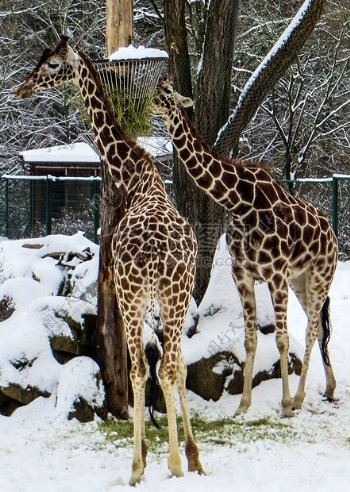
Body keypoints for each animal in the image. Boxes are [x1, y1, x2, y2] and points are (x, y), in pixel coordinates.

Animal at [16, 37, 204, 484]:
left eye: (52, 64)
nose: (22, 88)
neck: (136, 176)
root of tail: (153, 252)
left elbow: (164, 368)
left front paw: (174, 456)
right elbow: (171, 367)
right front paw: (187, 455)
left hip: (145, 295)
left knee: (151, 369)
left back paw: (148, 465)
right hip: (159, 297)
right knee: (159, 368)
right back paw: (165, 462)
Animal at [152, 77, 338, 418]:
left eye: (168, 92)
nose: (148, 101)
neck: (239, 202)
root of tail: (332, 233)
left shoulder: (275, 274)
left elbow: (281, 339)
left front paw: (284, 405)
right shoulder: (243, 274)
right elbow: (251, 340)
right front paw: (243, 405)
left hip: (320, 274)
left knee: (311, 328)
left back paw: (299, 398)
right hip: (301, 279)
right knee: (318, 326)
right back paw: (328, 389)